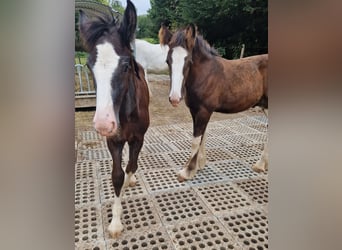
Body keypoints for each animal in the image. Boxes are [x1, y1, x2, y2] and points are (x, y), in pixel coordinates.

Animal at [81, 0, 150, 237]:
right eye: (89, 65)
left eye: (126, 65)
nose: (103, 124)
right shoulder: (114, 140)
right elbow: (117, 175)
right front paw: (115, 222)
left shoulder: (138, 138)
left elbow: (131, 166)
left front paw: (130, 180)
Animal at [159, 24, 268, 181]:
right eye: (168, 61)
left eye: (188, 61)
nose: (174, 98)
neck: (206, 74)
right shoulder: (195, 110)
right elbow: (202, 137)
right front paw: (199, 165)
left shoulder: (204, 111)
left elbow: (196, 140)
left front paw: (187, 171)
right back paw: (262, 164)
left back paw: (259, 164)